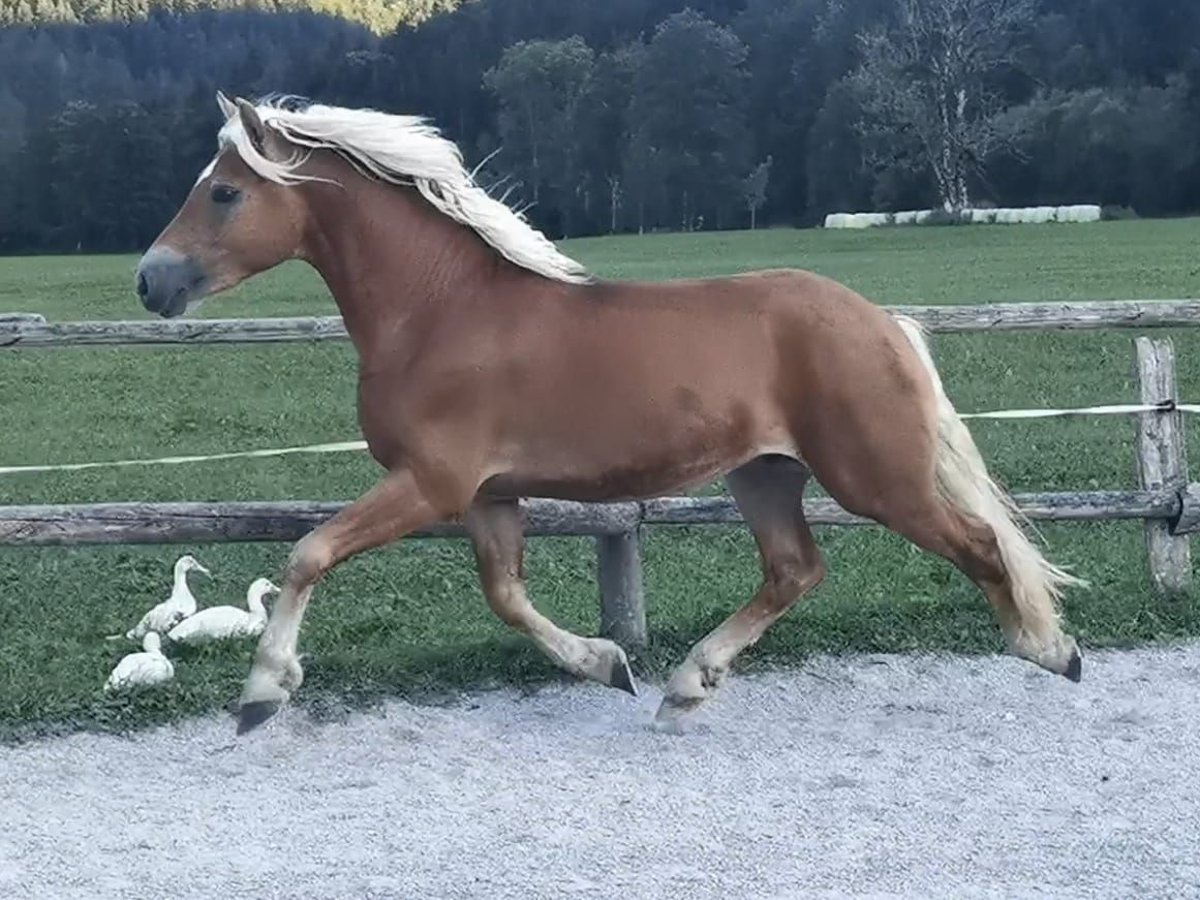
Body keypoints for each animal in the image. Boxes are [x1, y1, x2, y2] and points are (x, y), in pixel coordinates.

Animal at [133, 95, 1089, 734]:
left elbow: (309, 553)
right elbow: (506, 597)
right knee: (795, 569)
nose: (148, 281)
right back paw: (686, 684)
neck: (439, 311)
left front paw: (262, 692)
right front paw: (609, 664)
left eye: (223, 193)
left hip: (875, 478)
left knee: (979, 544)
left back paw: (1052, 651)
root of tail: (882, 321)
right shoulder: (488, 495)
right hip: (765, 474)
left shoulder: (431, 484)